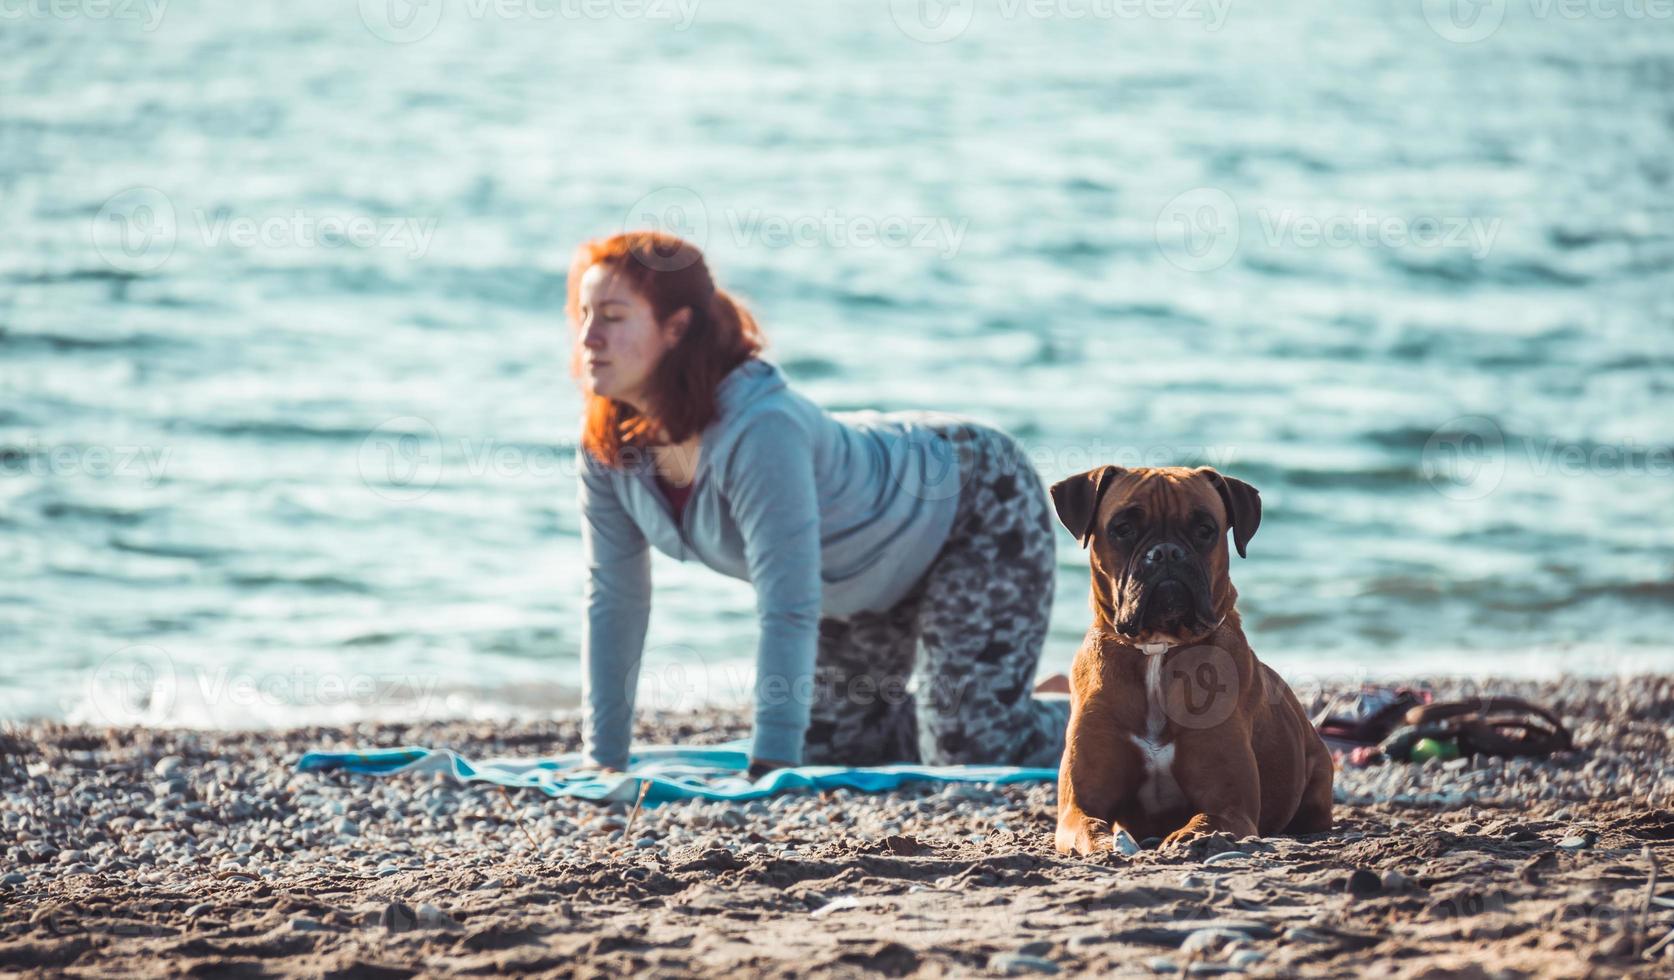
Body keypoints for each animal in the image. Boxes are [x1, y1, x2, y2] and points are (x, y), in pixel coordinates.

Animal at [1044, 462, 1332, 851]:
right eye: (1123, 528)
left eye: (1204, 530)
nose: (1166, 552)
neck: (1157, 649)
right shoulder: (1078, 806)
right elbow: (1089, 826)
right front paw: (1108, 842)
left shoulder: (1229, 806)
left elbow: (1205, 821)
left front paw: (1188, 836)